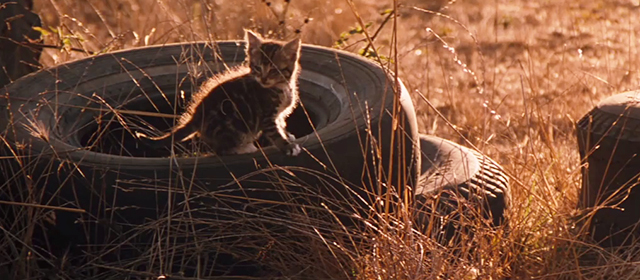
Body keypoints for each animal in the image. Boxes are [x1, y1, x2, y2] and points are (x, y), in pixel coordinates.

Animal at [138, 29, 302, 156]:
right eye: (257, 67)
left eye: (274, 70)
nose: (263, 79)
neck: (282, 87)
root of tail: (196, 116)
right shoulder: (267, 116)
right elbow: (275, 133)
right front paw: (287, 146)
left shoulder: (277, 114)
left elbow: (280, 124)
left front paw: (288, 136)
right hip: (234, 126)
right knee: (220, 150)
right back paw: (243, 148)